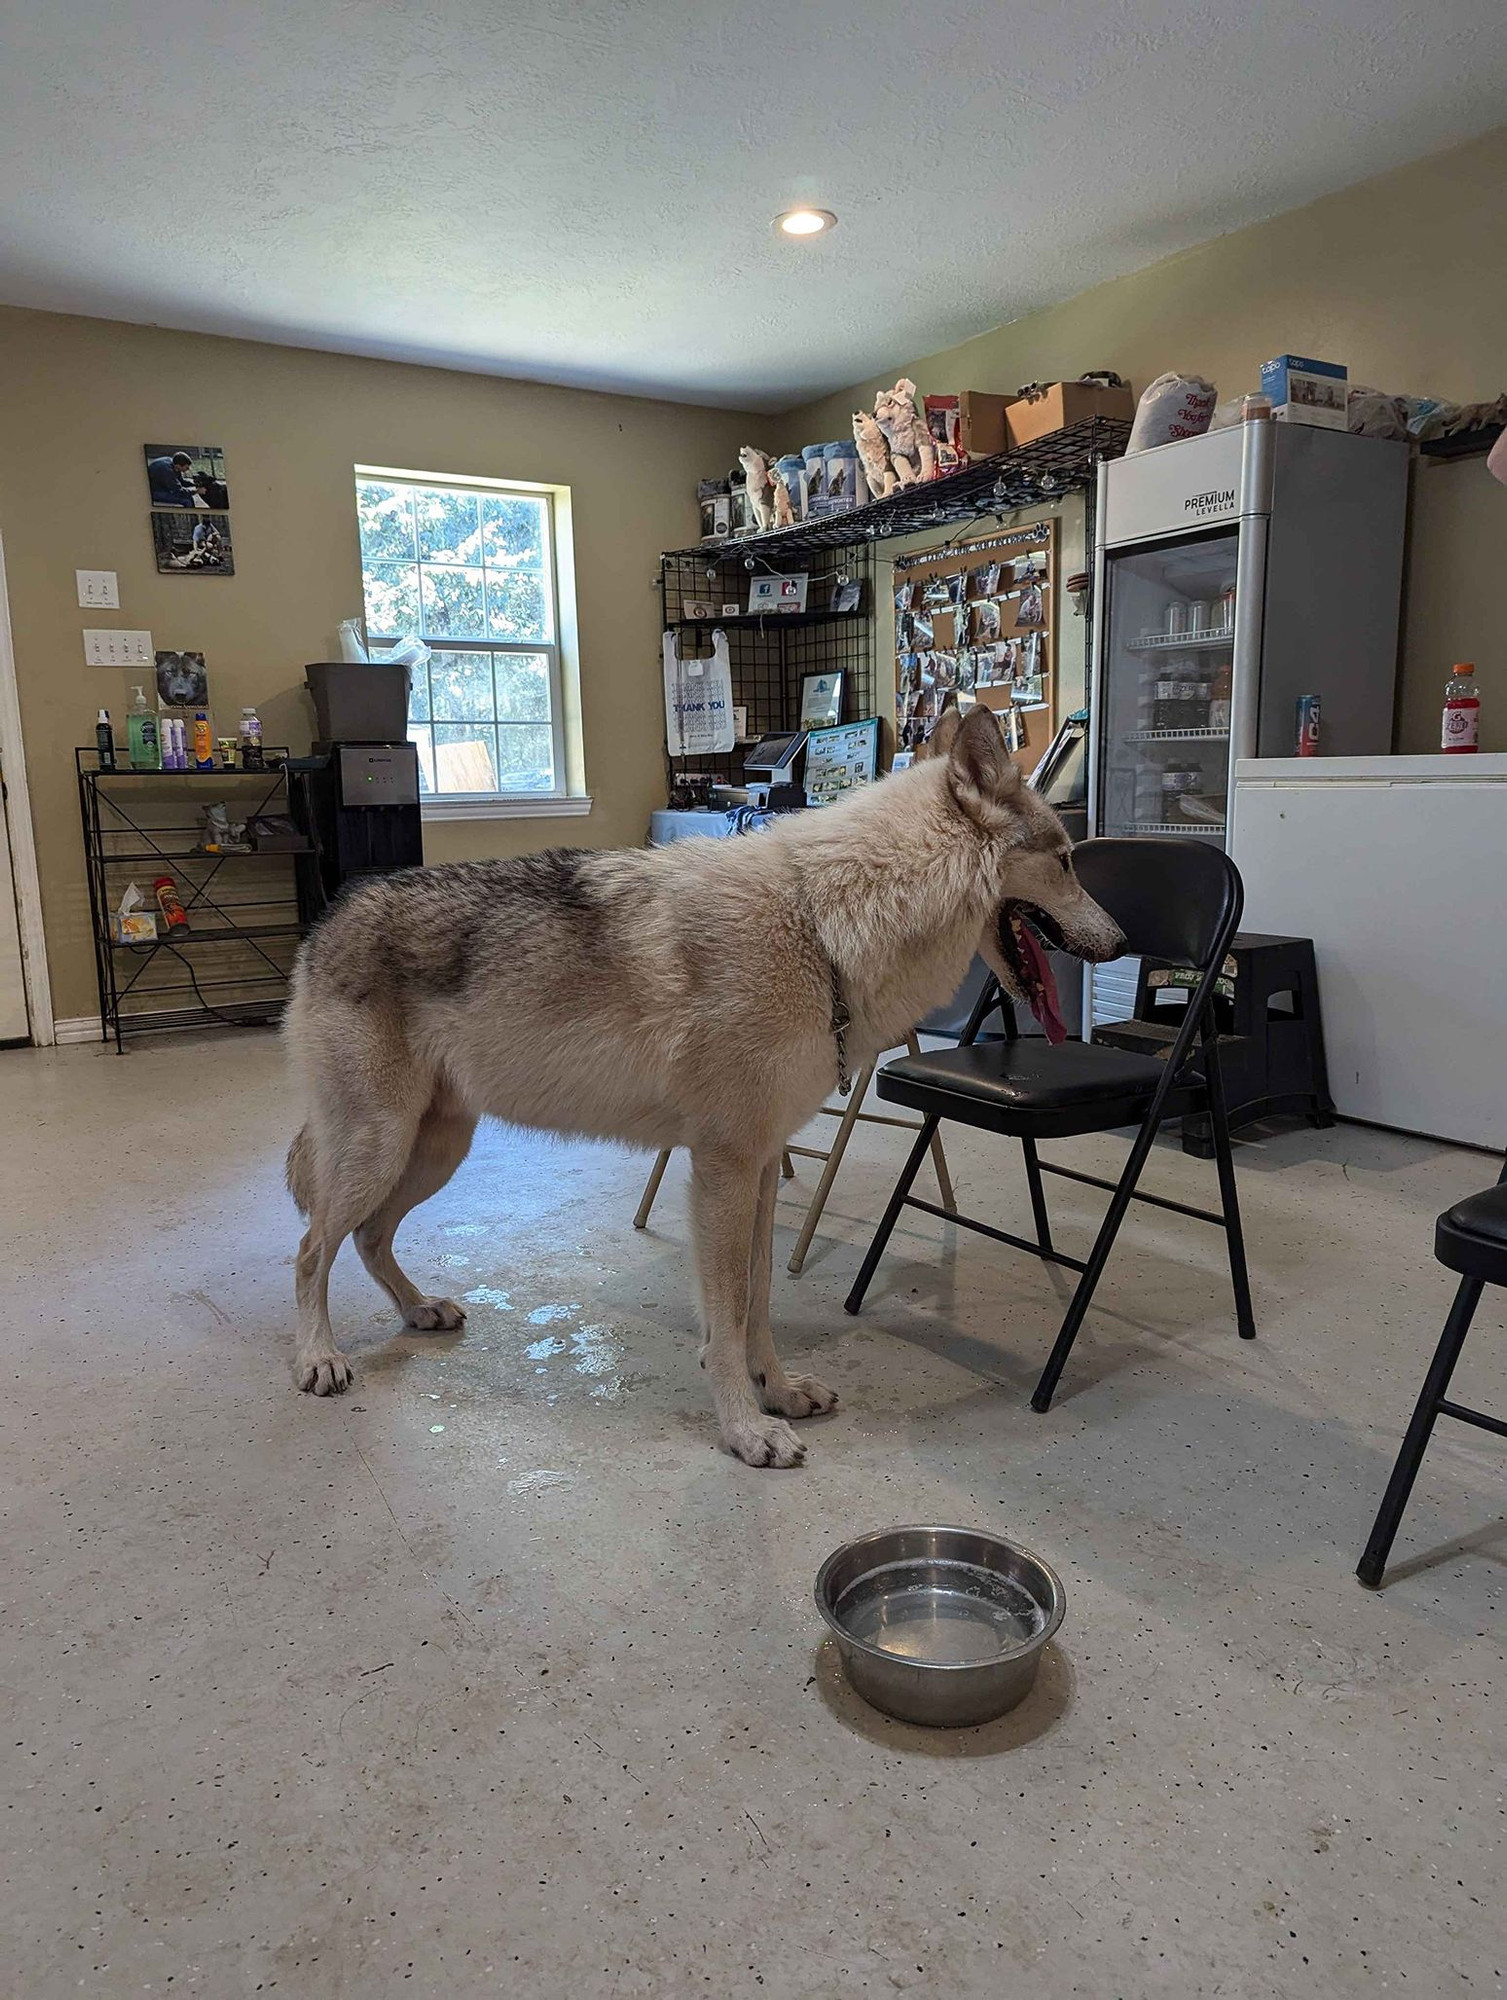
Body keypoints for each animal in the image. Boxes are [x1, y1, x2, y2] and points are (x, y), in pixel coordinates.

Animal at [287, 712, 1119, 1464]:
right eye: (1067, 860)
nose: (1119, 942)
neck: (823, 922)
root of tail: (331, 916)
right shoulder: (721, 1169)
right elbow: (727, 1315)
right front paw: (745, 1430)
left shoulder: (760, 1169)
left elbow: (758, 1302)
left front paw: (776, 1391)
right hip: (383, 1148)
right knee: (310, 1249)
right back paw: (318, 1357)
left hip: (432, 1151)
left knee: (366, 1237)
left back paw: (417, 1310)